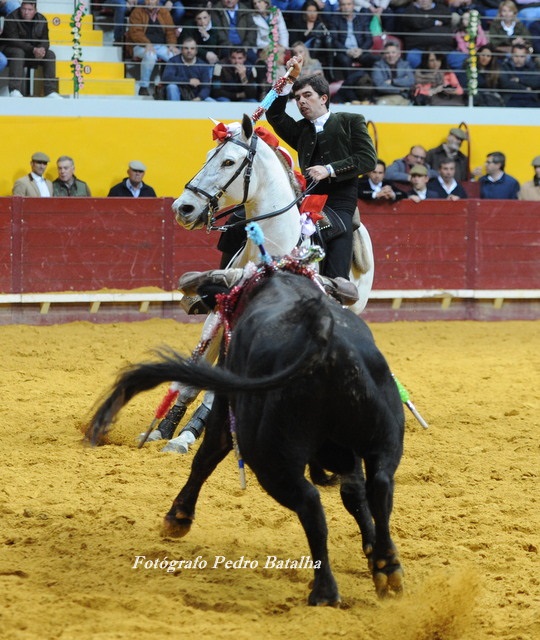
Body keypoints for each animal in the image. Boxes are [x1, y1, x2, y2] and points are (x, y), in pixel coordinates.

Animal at [87, 266, 405, 605]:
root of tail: (326, 343)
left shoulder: (226, 408)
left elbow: (205, 458)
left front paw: (177, 518)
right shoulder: (348, 453)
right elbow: (355, 493)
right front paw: (372, 553)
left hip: (267, 456)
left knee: (309, 501)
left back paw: (325, 590)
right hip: (383, 440)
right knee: (379, 486)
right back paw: (387, 566)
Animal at [147, 114, 376, 453]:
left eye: (229, 161)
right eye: (208, 156)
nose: (183, 208)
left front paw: (191, 432)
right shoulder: (219, 315)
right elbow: (197, 371)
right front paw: (166, 429)